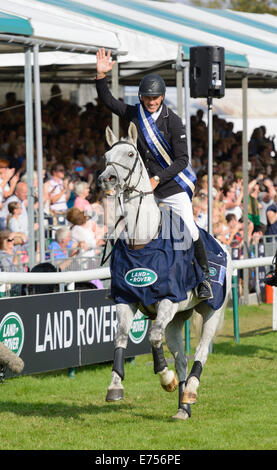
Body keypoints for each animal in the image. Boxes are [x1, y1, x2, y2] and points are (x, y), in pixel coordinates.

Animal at [98, 123, 232, 420]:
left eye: (130, 153)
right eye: (105, 156)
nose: (107, 179)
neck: (142, 240)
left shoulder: (169, 301)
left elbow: (153, 337)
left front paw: (164, 377)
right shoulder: (127, 299)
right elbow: (121, 337)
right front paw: (115, 386)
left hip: (211, 312)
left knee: (200, 352)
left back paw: (190, 391)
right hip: (177, 321)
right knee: (181, 359)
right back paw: (183, 407)